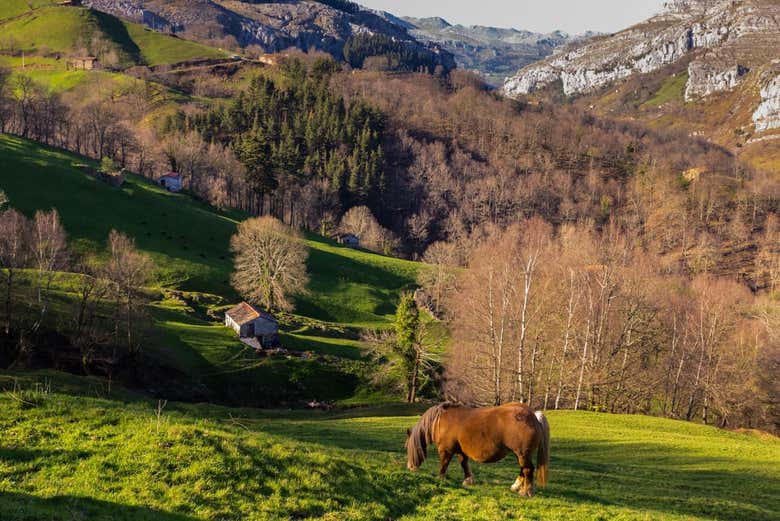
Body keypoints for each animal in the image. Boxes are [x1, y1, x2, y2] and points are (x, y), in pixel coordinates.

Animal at [408, 402, 548, 496]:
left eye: (409, 450)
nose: (410, 468)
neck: (439, 422)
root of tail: (533, 415)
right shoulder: (461, 451)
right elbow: (464, 464)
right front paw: (468, 480)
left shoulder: (446, 450)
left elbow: (444, 464)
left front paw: (440, 478)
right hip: (521, 455)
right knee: (523, 469)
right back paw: (516, 487)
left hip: (522, 454)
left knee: (528, 470)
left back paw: (525, 491)